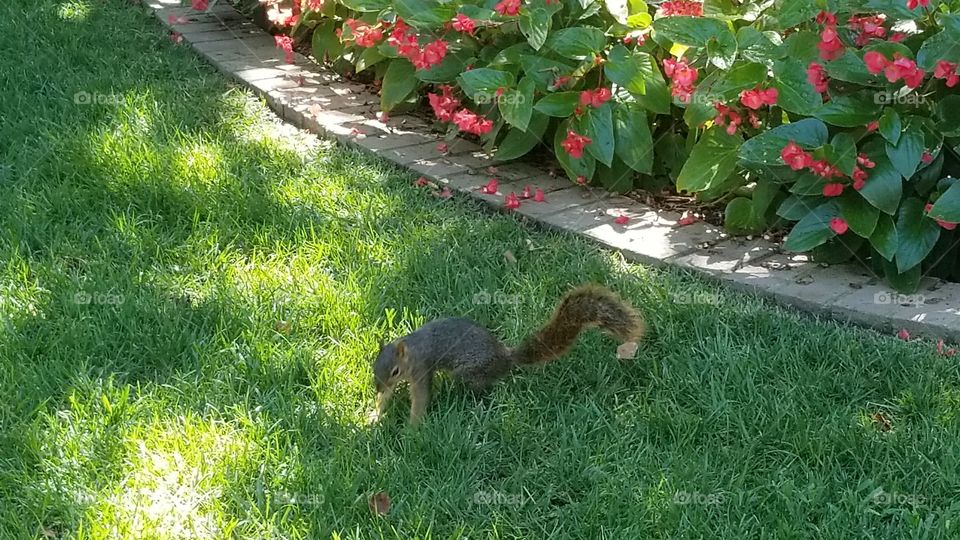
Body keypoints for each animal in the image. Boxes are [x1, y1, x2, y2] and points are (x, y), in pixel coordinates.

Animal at [370, 284, 645, 424]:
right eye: (374, 367)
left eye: (395, 370)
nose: (378, 387)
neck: (410, 347)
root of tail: (504, 357)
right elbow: (389, 397)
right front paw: (375, 414)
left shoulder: (421, 368)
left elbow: (421, 398)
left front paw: (413, 428)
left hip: (470, 372)